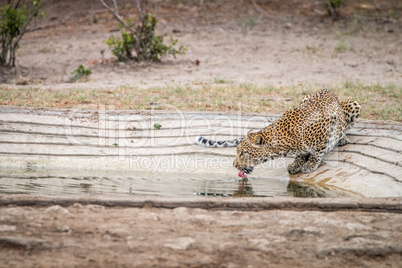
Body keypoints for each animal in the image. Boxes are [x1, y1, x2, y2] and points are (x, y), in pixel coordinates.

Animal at [196, 89, 362, 178]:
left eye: (243, 153)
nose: (234, 165)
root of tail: (332, 92)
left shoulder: (327, 127)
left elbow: (318, 150)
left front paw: (310, 164)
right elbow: (302, 153)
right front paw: (296, 163)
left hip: (354, 103)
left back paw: (343, 139)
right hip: (305, 98)